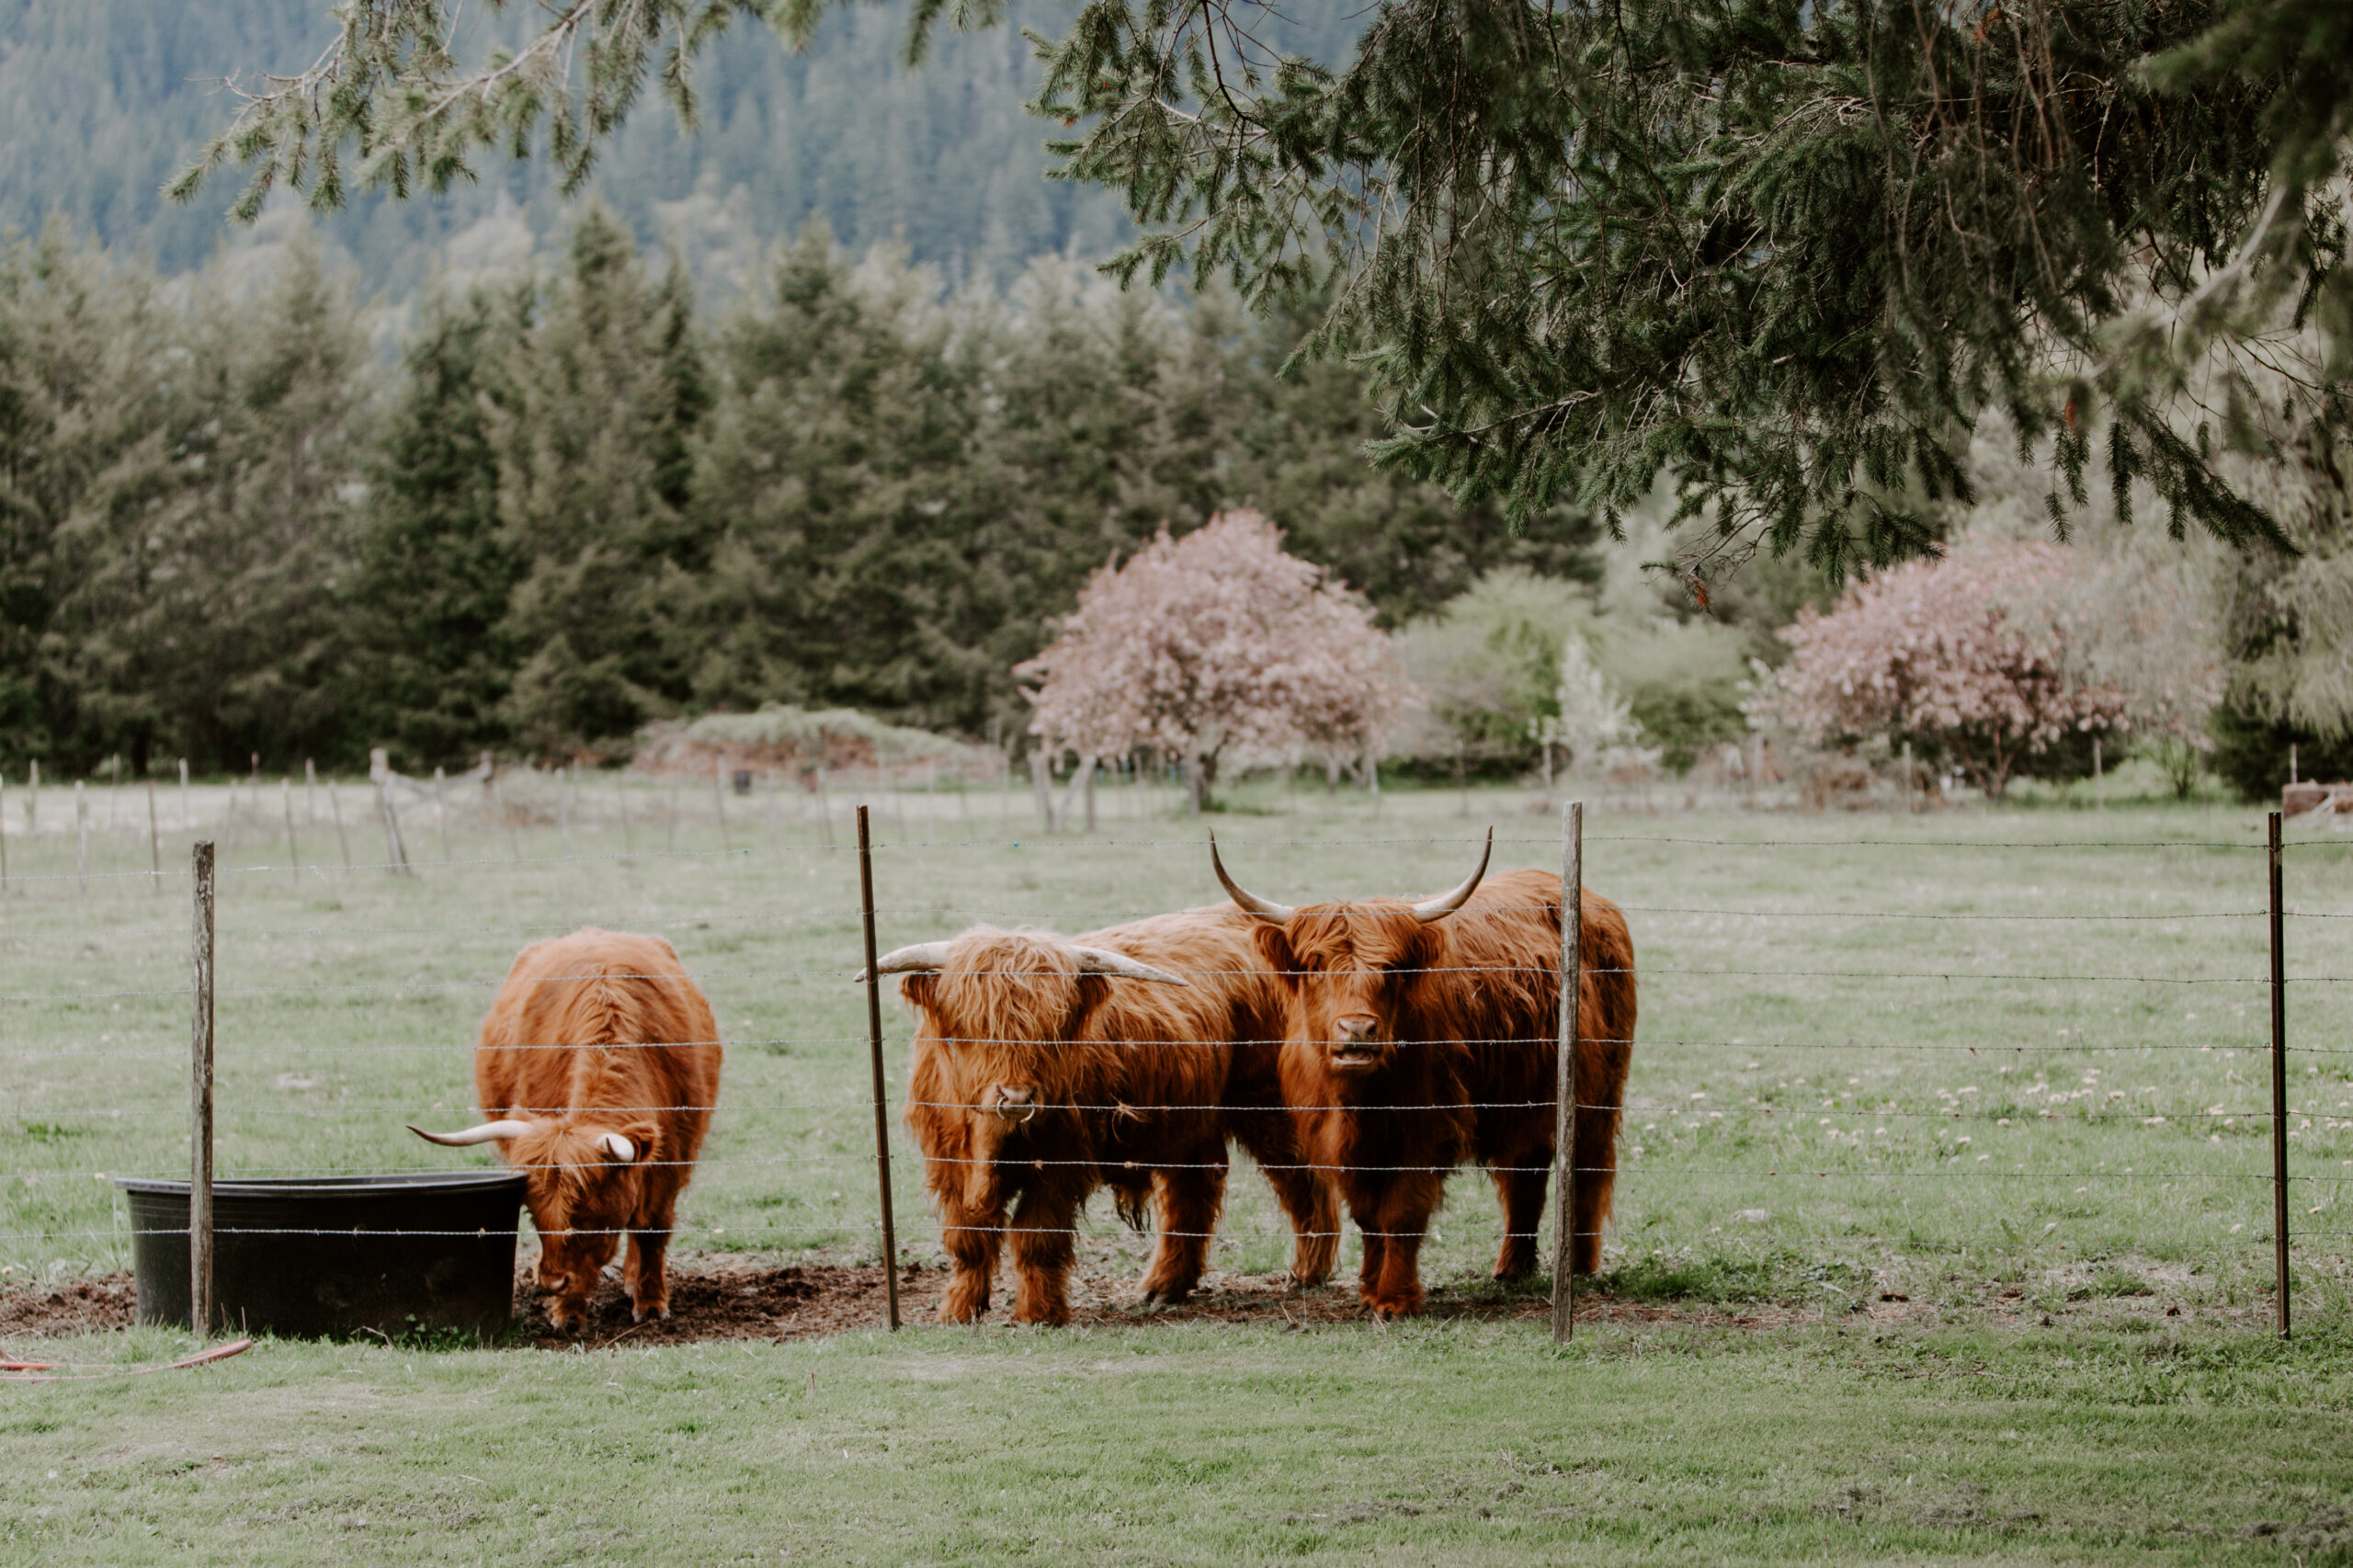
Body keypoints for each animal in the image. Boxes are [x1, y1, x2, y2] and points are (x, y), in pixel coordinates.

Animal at [409, 923, 715, 1327]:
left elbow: (651, 1229)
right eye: (533, 1213)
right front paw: (567, 1312)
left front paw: (651, 1304)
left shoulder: (672, 1161)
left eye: (585, 1213)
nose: (553, 1282)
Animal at [870, 908, 1346, 1327]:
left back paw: (1308, 1272)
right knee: (1194, 1189)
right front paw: (958, 1311)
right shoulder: (948, 1162)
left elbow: (1036, 1236)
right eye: (974, 1023)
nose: (1017, 1096)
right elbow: (967, 1238)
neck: (990, 1140)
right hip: (1189, 1122)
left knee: (1300, 1178)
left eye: (1052, 1027)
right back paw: (1163, 1287)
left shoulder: (1062, 1164)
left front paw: (1039, 1315)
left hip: (1267, 1104)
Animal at [1213, 828, 1637, 1318]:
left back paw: (1581, 1265)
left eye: (1390, 969)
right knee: (1525, 1174)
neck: (1363, 1104)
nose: (1357, 1029)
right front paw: (1367, 1288)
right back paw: (1511, 1268)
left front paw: (1394, 1299)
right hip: (1523, 1100)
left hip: (1597, 1092)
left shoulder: (1428, 1130)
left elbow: (1400, 1212)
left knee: (1588, 1169)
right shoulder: (1341, 1142)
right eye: (1317, 965)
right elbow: (1368, 1215)